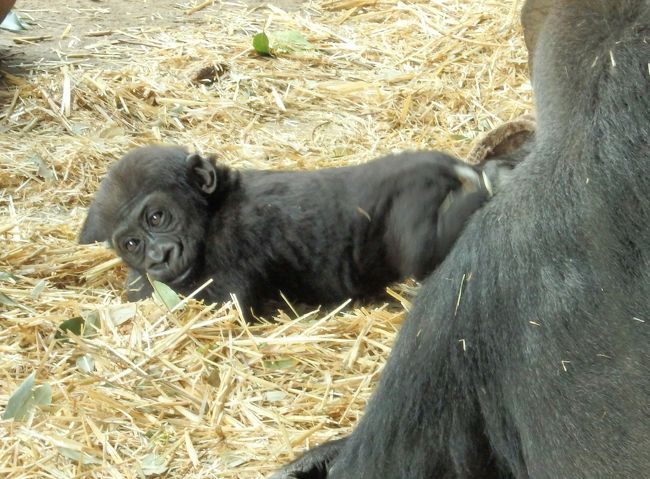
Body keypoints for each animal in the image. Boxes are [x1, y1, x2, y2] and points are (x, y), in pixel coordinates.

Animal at [79, 144, 496, 320]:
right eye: (131, 243)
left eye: (157, 217)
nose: (158, 257)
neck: (213, 211)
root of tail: (444, 165)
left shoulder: (236, 236)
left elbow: (230, 309)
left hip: (414, 192)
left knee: (424, 251)